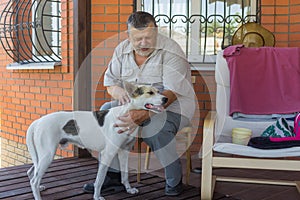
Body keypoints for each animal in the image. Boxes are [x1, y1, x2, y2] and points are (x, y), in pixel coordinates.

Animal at [26, 81, 168, 200]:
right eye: (150, 92)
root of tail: (39, 121)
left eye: (158, 91)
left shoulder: (124, 152)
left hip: (42, 156)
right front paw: (97, 196)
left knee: (31, 173)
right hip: (47, 155)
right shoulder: (107, 154)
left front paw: (129, 189)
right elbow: (99, 179)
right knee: (34, 180)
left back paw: (39, 188)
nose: (166, 98)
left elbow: (125, 174)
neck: (125, 114)